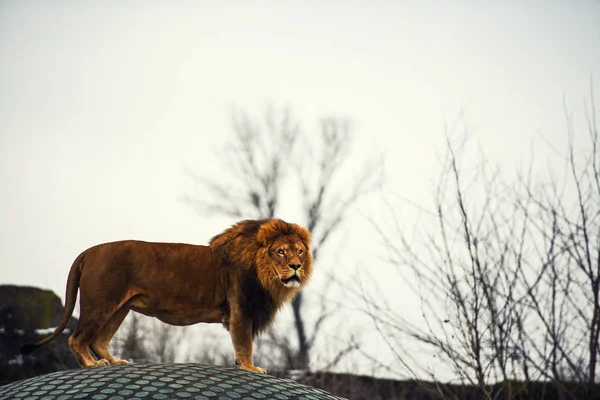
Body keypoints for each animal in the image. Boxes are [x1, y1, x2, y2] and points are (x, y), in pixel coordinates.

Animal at [20, 219, 312, 372]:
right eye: (281, 252)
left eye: (299, 251)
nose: (296, 266)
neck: (266, 275)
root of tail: (89, 251)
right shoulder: (240, 309)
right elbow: (245, 343)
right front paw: (250, 368)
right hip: (100, 304)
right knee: (77, 339)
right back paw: (93, 365)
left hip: (119, 308)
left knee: (100, 340)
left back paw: (114, 361)